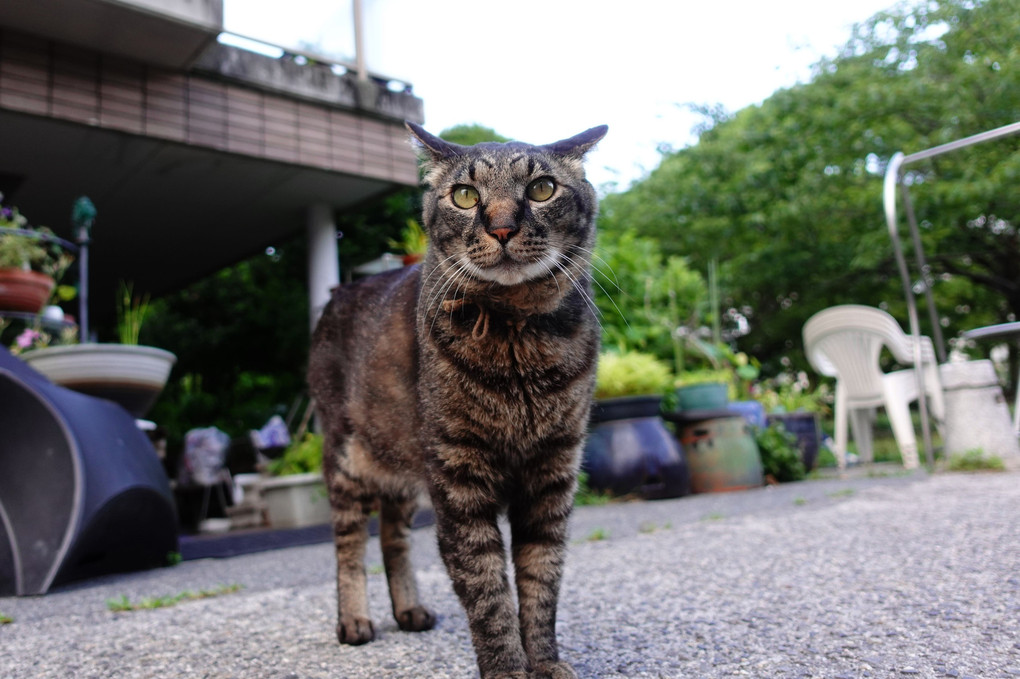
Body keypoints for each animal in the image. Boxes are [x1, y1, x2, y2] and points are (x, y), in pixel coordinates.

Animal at [306, 122, 607, 676]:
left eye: (542, 189)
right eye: (465, 196)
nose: (503, 229)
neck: (515, 338)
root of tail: (340, 290)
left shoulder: (552, 474)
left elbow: (541, 582)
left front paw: (546, 663)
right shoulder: (457, 476)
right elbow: (487, 591)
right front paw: (507, 669)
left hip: (402, 467)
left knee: (393, 536)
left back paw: (409, 610)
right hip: (348, 460)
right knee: (349, 543)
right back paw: (355, 621)